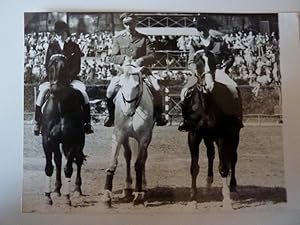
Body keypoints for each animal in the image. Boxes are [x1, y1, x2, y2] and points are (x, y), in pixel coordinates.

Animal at [41, 54, 85, 206]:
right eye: (50, 67)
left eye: (65, 69)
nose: (54, 90)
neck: (60, 105)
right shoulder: (48, 140)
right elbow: (49, 167)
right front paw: (48, 196)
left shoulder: (71, 140)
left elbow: (68, 168)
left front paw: (67, 198)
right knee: (59, 160)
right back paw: (56, 190)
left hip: (80, 141)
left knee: (78, 160)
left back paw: (77, 190)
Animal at [102, 58, 155, 207]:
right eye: (120, 85)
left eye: (137, 85)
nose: (127, 111)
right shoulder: (118, 135)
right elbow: (113, 163)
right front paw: (107, 195)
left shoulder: (143, 138)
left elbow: (139, 164)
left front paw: (138, 194)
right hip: (125, 138)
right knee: (128, 155)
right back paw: (127, 186)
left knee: (143, 158)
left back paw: (143, 187)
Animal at [182, 50, 243, 208]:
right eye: (198, 62)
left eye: (213, 61)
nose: (208, 86)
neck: (205, 105)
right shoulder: (194, 135)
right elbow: (194, 167)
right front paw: (193, 199)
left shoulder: (221, 136)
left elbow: (223, 167)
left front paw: (227, 200)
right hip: (208, 137)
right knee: (211, 155)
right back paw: (208, 186)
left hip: (234, 134)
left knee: (233, 157)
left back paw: (233, 186)